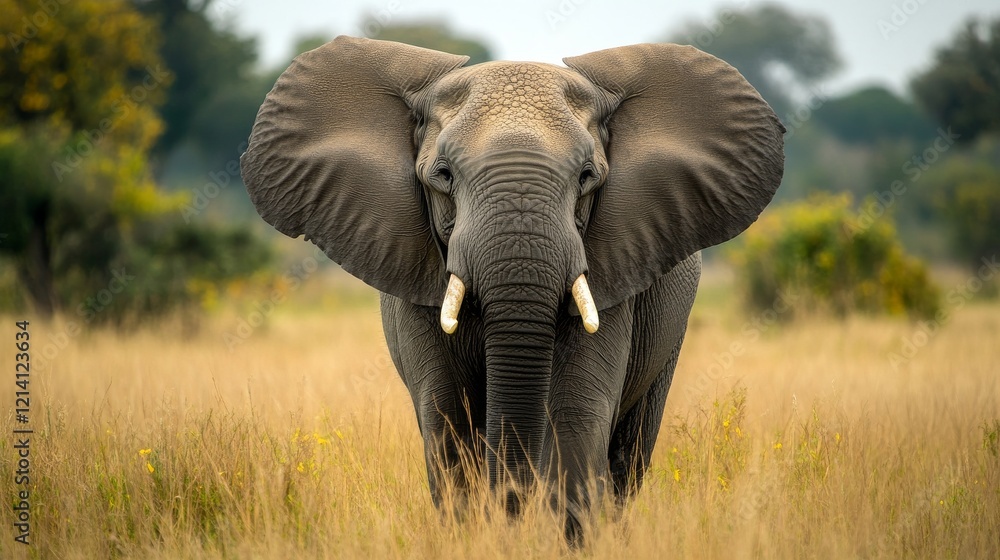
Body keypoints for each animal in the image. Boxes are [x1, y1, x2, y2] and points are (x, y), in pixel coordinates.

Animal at [241, 36, 784, 541]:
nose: (513, 510)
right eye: (443, 175)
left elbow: (573, 412)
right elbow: (447, 415)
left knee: (629, 453)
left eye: (587, 176)